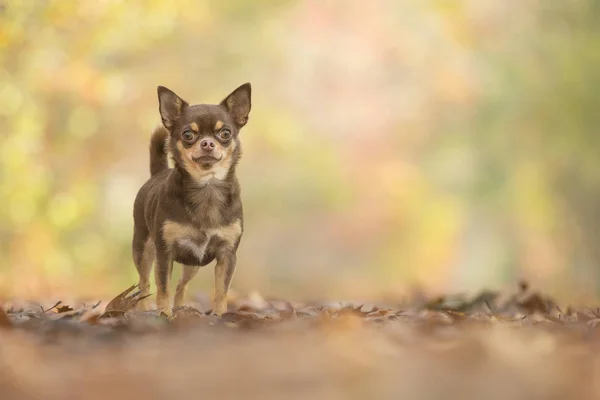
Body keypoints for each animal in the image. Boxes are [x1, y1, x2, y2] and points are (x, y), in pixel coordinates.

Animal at [131, 83, 251, 316]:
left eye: (225, 133)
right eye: (188, 135)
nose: (207, 143)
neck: (207, 187)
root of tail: (158, 173)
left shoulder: (227, 255)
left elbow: (221, 290)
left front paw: (219, 316)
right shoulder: (164, 252)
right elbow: (163, 288)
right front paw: (164, 315)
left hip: (193, 262)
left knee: (181, 284)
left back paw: (180, 309)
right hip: (143, 249)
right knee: (144, 283)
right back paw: (144, 310)